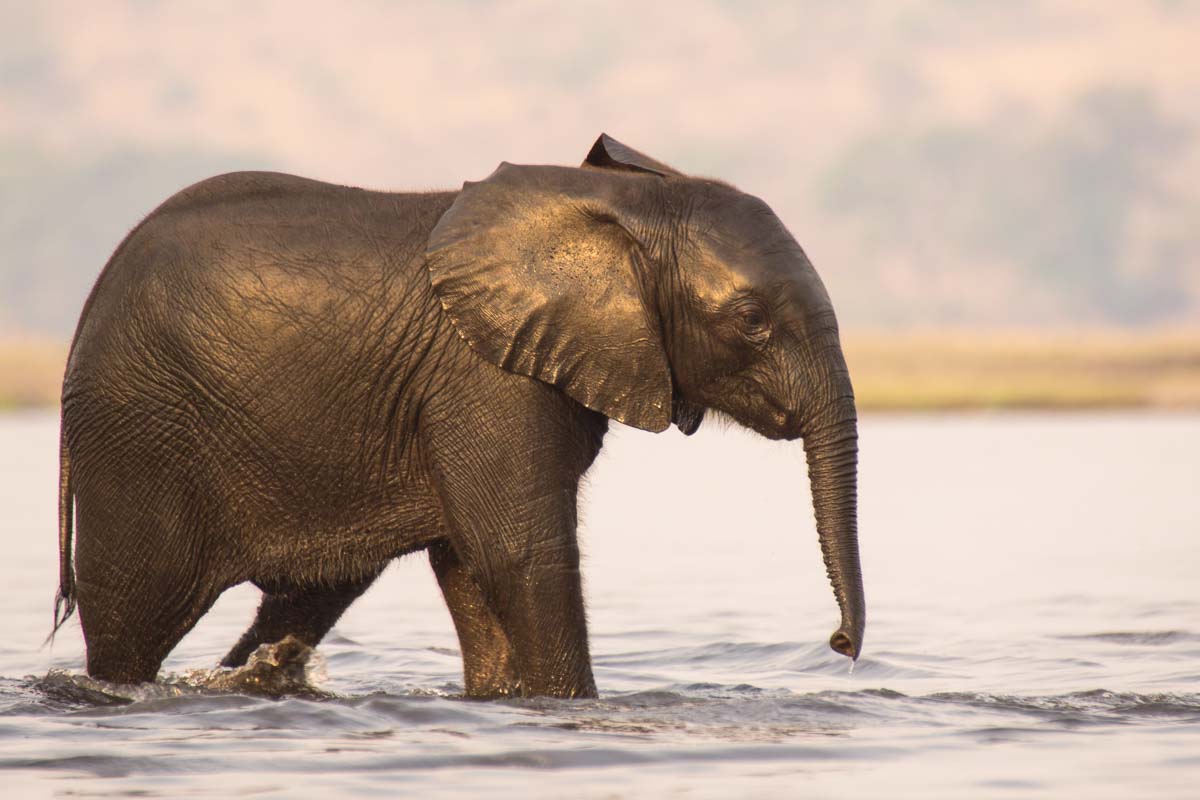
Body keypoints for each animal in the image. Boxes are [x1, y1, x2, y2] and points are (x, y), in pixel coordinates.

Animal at [54, 134, 864, 695]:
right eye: (753, 322)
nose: (838, 645)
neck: (621, 207)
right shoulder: (486, 378)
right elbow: (520, 554)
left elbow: (470, 567)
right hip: (138, 432)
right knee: (132, 618)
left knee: (312, 596)